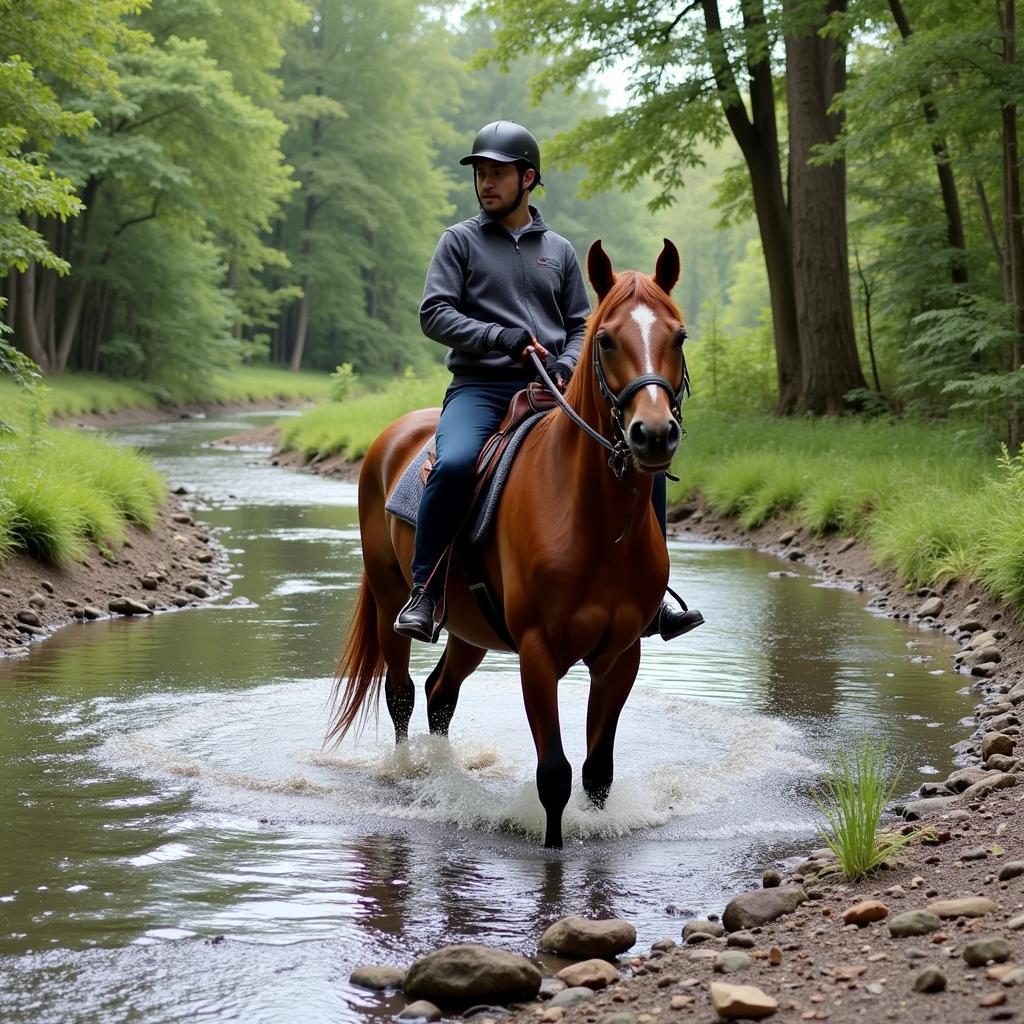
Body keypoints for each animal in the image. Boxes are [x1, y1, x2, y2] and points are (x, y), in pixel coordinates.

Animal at [331, 237, 692, 847]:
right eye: (607, 338)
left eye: (679, 336)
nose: (654, 434)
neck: (593, 523)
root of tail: (391, 437)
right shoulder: (537, 652)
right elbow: (555, 777)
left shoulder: (621, 655)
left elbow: (597, 774)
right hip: (388, 601)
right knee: (402, 693)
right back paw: (411, 776)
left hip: (469, 627)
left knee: (440, 694)